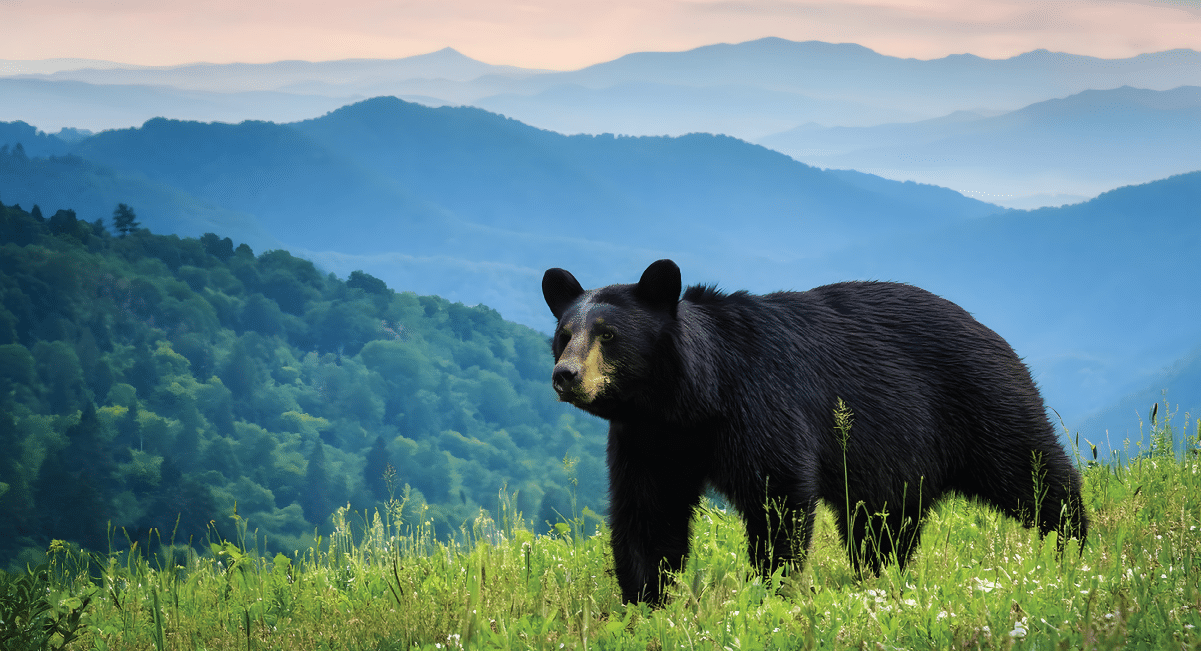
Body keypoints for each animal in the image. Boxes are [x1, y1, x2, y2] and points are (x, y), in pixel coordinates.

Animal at [542, 259, 1088, 605]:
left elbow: (777, 493)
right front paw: (646, 600)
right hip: (898, 460)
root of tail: (994, 333)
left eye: (608, 335)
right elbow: (649, 512)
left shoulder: (760, 403)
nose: (565, 375)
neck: (690, 399)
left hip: (982, 404)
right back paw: (880, 576)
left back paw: (1073, 548)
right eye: (564, 335)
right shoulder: (649, 438)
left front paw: (771, 587)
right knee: (883, 525)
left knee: (1035, 475)